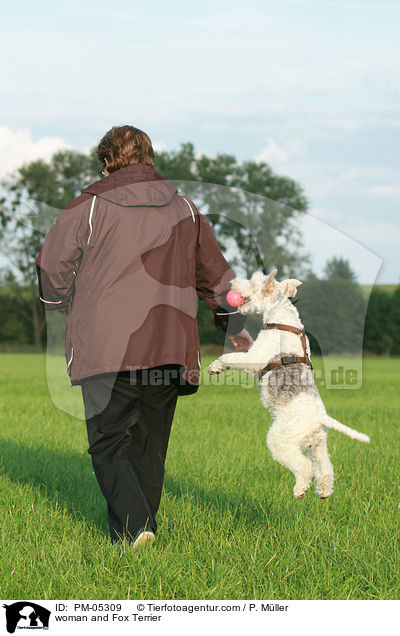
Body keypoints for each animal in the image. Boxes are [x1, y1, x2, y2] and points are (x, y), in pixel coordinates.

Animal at [208, 270, 370, 500]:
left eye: (253, 280)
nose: (232, 283)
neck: (281, 317)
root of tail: (320, 417)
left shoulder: (254, 357)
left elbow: (229, 357)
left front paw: (215, 367)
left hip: (279, 439)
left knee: (305, 467)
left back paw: (300, 490)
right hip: (318, 445)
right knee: (325, 470)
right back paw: (323, 492)